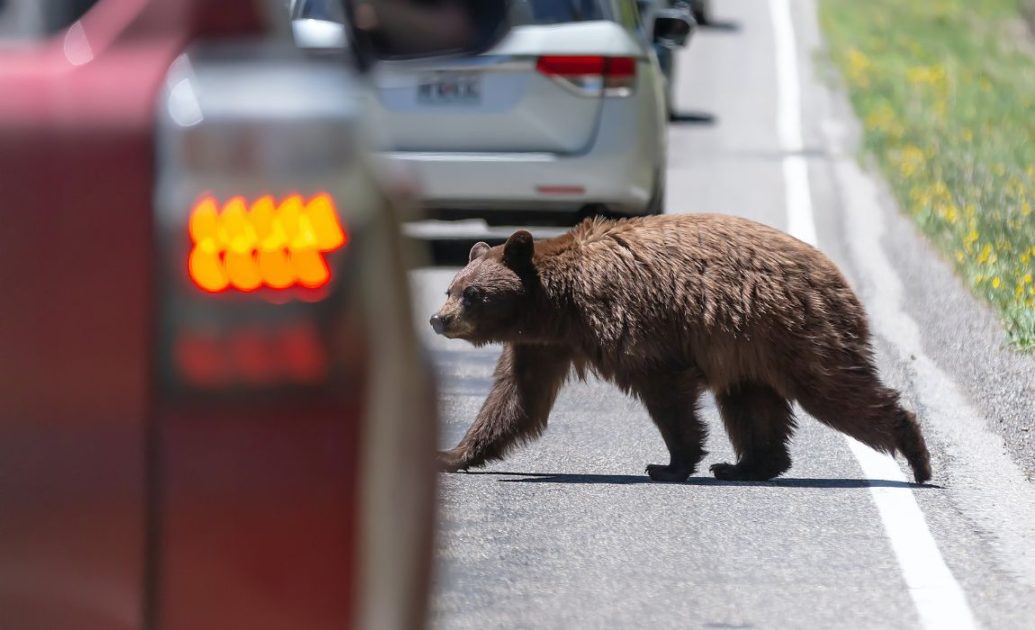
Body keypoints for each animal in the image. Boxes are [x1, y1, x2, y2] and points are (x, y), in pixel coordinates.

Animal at [426, 214, 931, 484]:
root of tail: (835, 274)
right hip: (751, 347)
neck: (558, 305)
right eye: (452, 288)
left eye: (472, 294)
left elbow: (666, 393)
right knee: (751, 403)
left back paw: (917, 455)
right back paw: (745, 465)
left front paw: (669, 463)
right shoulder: (541, 345)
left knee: (835, 390)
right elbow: (515, 399)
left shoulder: (631, 324)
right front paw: (452, 455)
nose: (437, 318)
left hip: (791, 331)